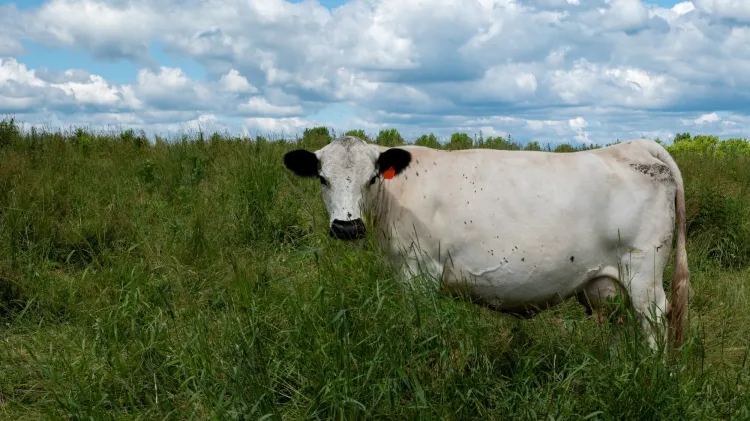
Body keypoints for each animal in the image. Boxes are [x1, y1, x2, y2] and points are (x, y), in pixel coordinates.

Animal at [283, 135, 690, 351]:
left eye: (371, 178)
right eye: (322, 178)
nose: (346, 227)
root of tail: (636, 146)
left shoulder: (419, 272)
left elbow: (420, 326)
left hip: (644, 271)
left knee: (654, 320)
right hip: (606, 283)